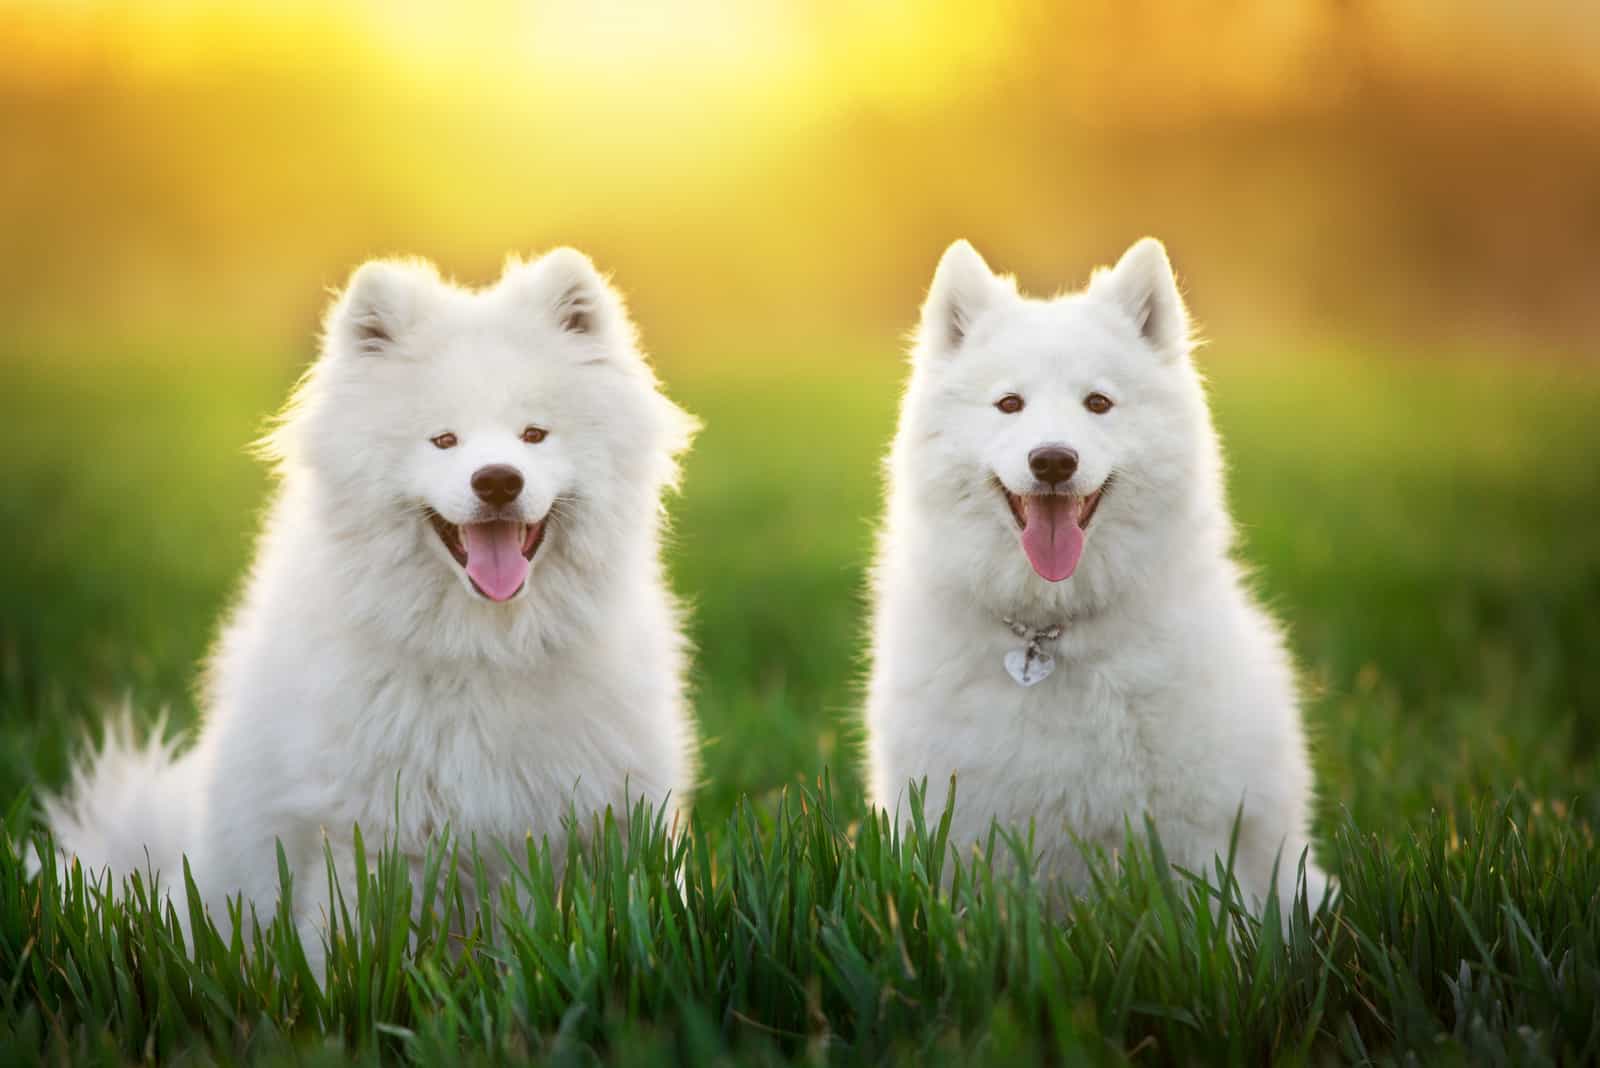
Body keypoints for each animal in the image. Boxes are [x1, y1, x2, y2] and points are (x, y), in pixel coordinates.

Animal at [42, 247, 694, 952]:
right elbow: (353, 947)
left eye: (534, 435)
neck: (482, 651)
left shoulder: (601, 822)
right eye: (444, 440)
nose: (497, 480)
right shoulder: (369, 832)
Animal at [870, 238, 1331, 914]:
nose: (1053, 460)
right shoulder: (954, 825)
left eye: (1098, 403)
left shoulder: (1191, 835)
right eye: (1009, 404)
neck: (1048, 631)